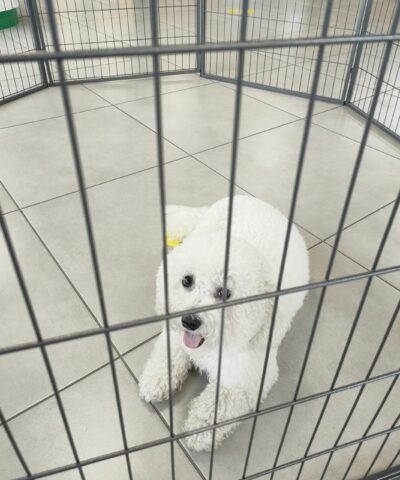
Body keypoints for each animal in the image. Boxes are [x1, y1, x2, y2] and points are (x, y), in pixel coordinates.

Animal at [139, 194, 310, 450]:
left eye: (224, 293)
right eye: (187, 280)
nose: (189, 321)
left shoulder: (249, 375)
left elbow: (220, 402)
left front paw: (200, 429)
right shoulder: (176, 337)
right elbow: (167, 355)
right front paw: (156, 379)